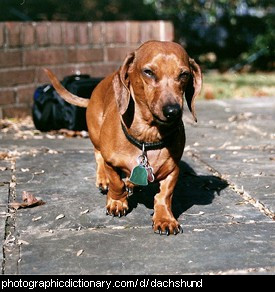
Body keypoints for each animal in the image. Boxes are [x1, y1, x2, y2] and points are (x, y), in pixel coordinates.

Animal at [44, 40, 202, 235]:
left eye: (184, 74)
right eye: (148, 72)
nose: (173, 111)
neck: (147, 139)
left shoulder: (173, 170)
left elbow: (164, 195)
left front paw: (165, 219)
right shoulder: (111, 162)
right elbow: (116, 182)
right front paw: (117, 202)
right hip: (96, 135)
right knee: (98, 157)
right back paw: (104, 179)